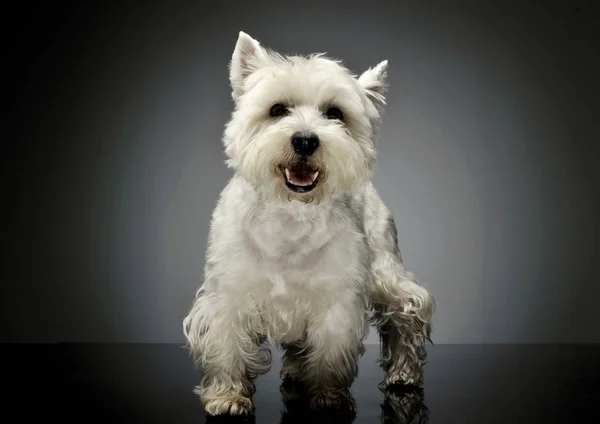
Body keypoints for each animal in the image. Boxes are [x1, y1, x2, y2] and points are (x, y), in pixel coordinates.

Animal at [183, 31, 436, 416]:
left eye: (335, 113)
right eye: (276, 110)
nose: (305, 140)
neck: (291, 214)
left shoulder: (336, 298)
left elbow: (330, 351)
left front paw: (327, 397)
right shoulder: (230, 294)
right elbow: (227, 345)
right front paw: (227, 396)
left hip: (386, 267)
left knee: (408, 313)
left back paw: (404, 374)